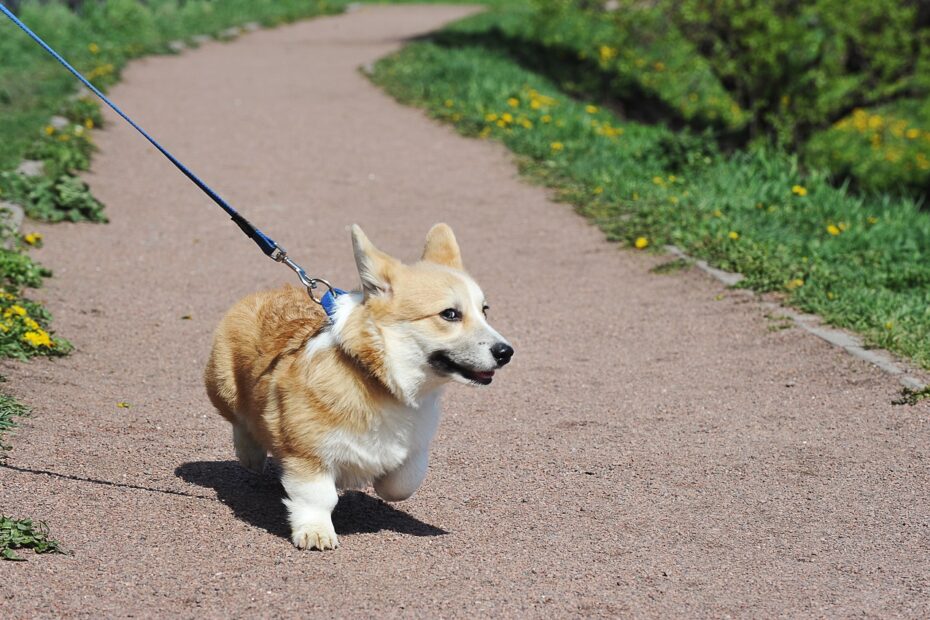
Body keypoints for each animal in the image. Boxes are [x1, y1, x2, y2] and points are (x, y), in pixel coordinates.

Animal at [201, 222, 516, 548]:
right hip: (223, 386)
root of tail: (266, 292)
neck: (379, 381)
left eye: (485, 310)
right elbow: (318, 497)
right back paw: (250, 452)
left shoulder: (415, 447)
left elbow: (402, 483)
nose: (506, 352)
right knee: (240, 421)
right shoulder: (308, 454)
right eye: (450, 314)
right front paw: (315, 531)